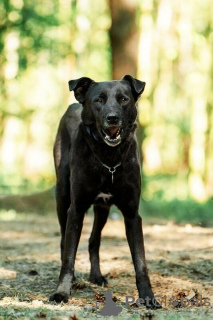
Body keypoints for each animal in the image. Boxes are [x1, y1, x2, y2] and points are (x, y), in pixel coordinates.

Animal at [50, 74, 160, 308]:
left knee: (94, 241)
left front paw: (148, 296)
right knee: (64, 241)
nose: (112, 118)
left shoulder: (132, 214)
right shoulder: (76, 210)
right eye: (98, 101)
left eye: (124, 99)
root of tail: (74, 104)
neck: (108, 159)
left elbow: (140, 262)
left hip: (103, 209)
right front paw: (62, 292)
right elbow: (69, 257)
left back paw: (96, 276)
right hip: (62, 197)